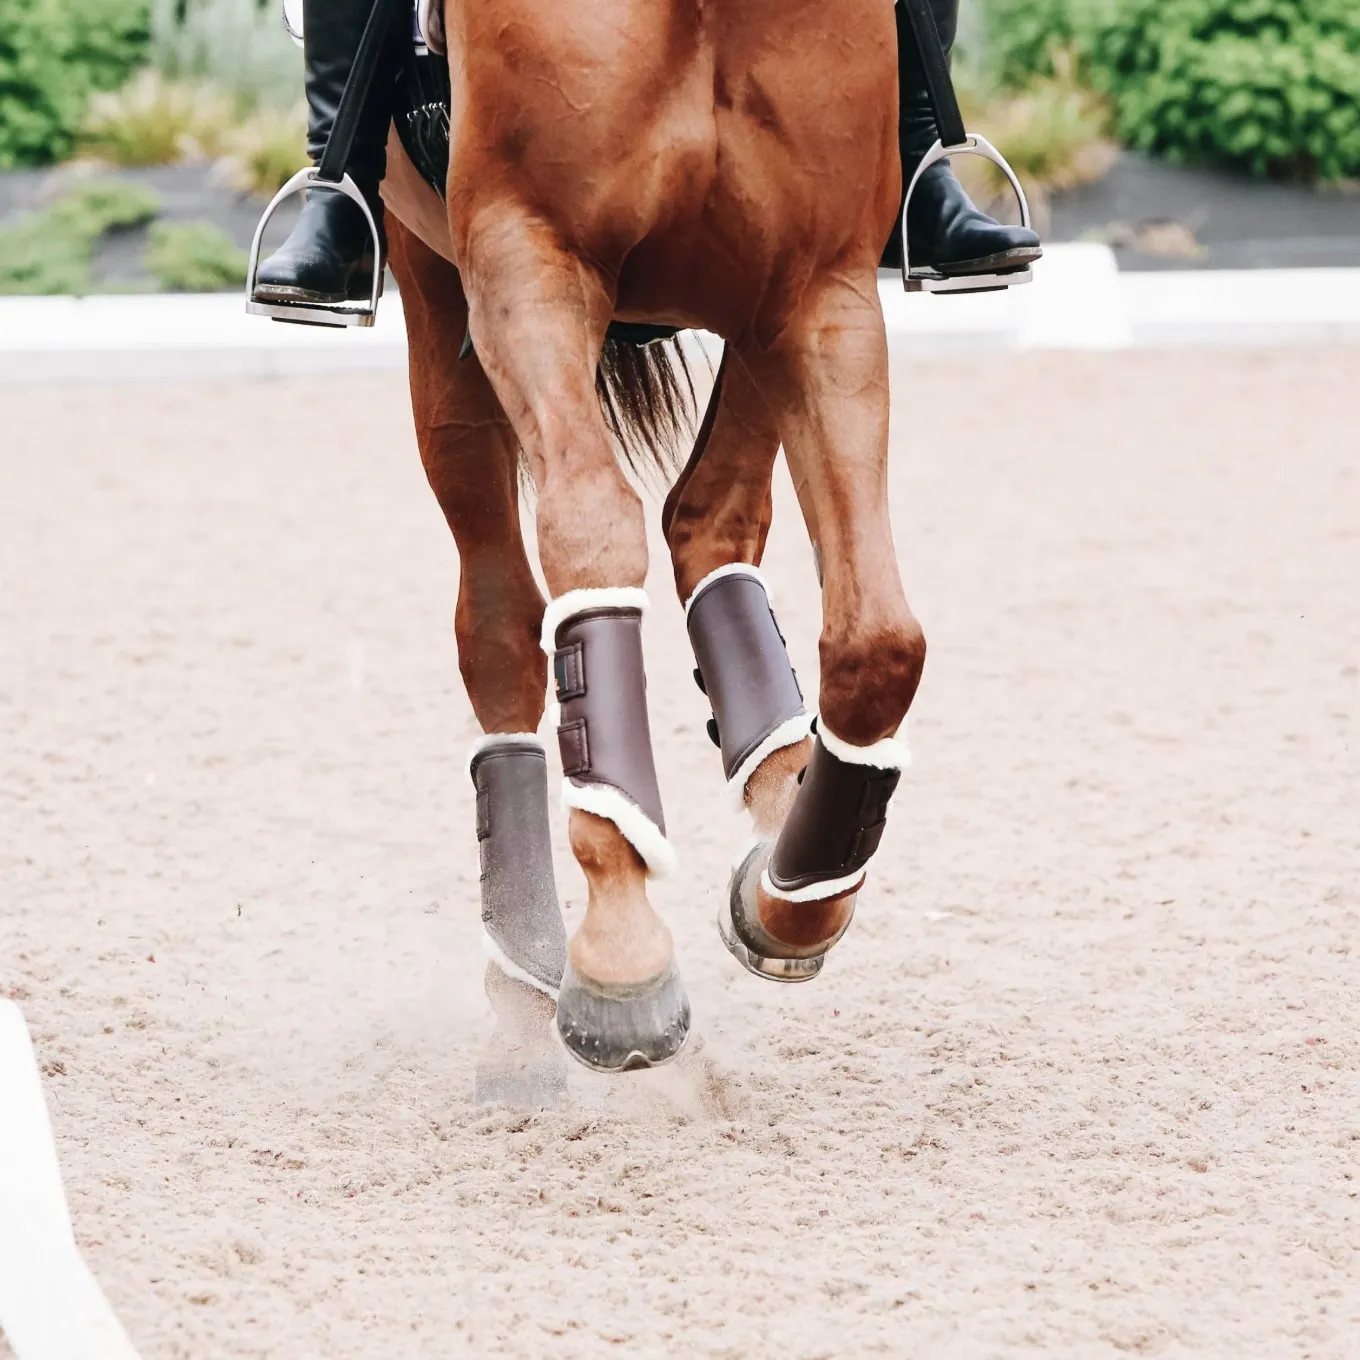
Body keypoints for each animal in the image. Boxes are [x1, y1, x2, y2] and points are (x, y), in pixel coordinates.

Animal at [375, 5, 924, 1077]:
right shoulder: (526, 258)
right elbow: (590, 546)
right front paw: (619, 950)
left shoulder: (821, 289)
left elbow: (881, 641)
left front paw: (794, 894)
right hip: (437, 301)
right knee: (498, 618)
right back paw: (529, 950)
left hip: (760, 310)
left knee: (709, 519)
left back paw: (780, 781)